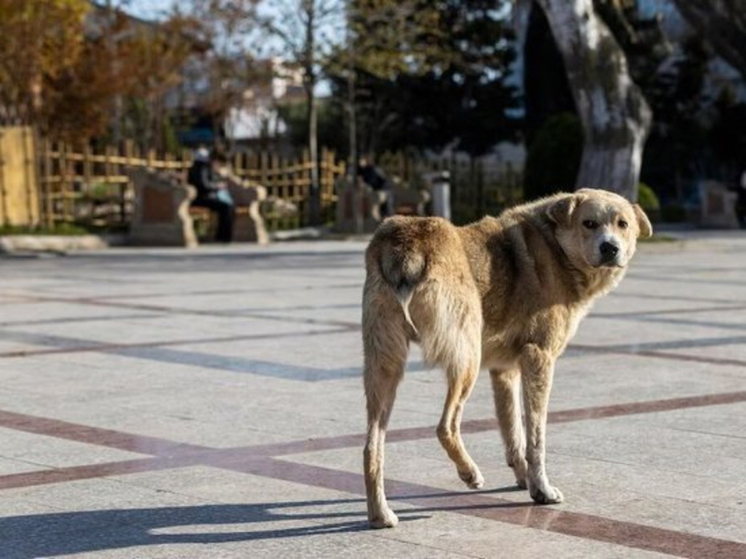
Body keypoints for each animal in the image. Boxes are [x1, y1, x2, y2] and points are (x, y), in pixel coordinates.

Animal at [360, 188, 652, 528]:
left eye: (622, 224)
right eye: (589, 223)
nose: (610, 248)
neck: (556, 248)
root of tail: (408, 242)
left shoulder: (504, 371)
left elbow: (514, 433)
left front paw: (525, 481)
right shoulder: (538, 358)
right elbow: (536, 437)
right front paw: (542, 490)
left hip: (384, 366)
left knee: (371, 447)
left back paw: (380, 514)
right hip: (467, 359)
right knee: (445, 426)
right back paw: (469, 473)